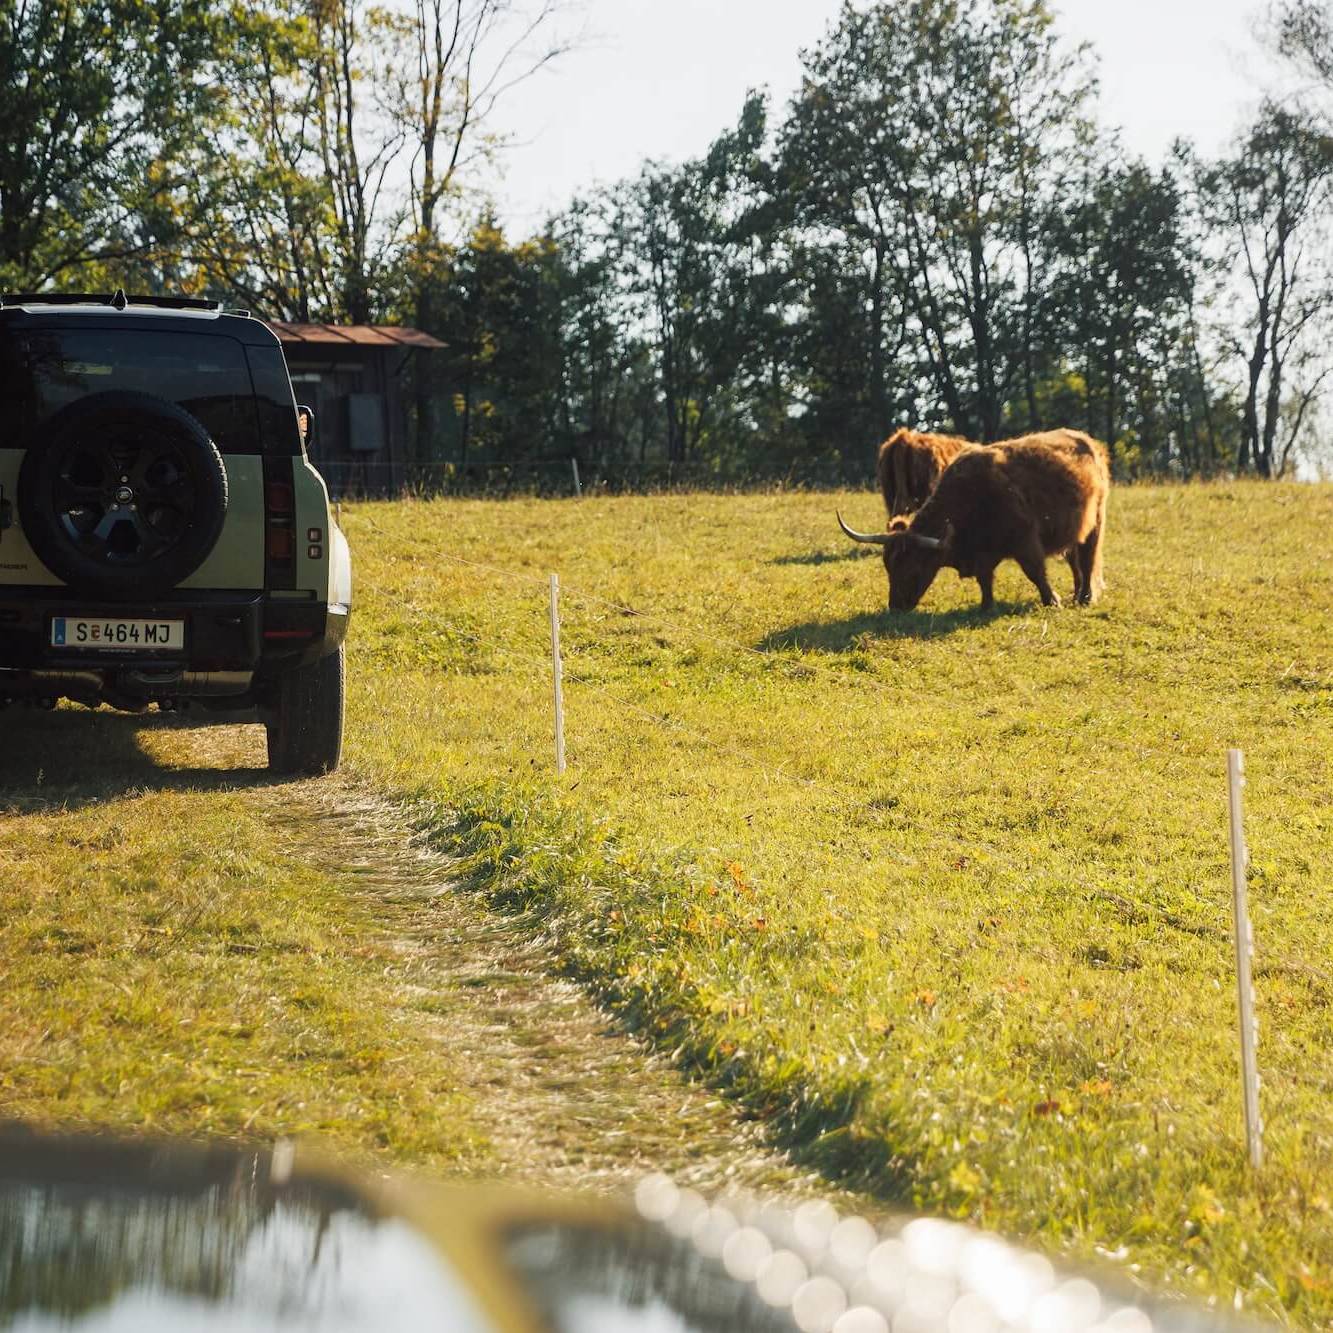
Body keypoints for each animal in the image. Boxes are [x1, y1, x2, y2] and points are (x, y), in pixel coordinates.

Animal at [837, 429, 1109, 610]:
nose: (896, 606)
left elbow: (1035, 572)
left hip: (1095, 521)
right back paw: (1076, 594)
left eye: (913, 566)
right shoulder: (983, 553)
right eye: (889, 567)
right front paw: (986, 605)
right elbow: (984, 578)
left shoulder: (1025, 540)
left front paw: (1052, 601)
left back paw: (1084, 598)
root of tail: (1087, 440)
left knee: (1088, 560)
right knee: (1075, 561)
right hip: (1073, 530)